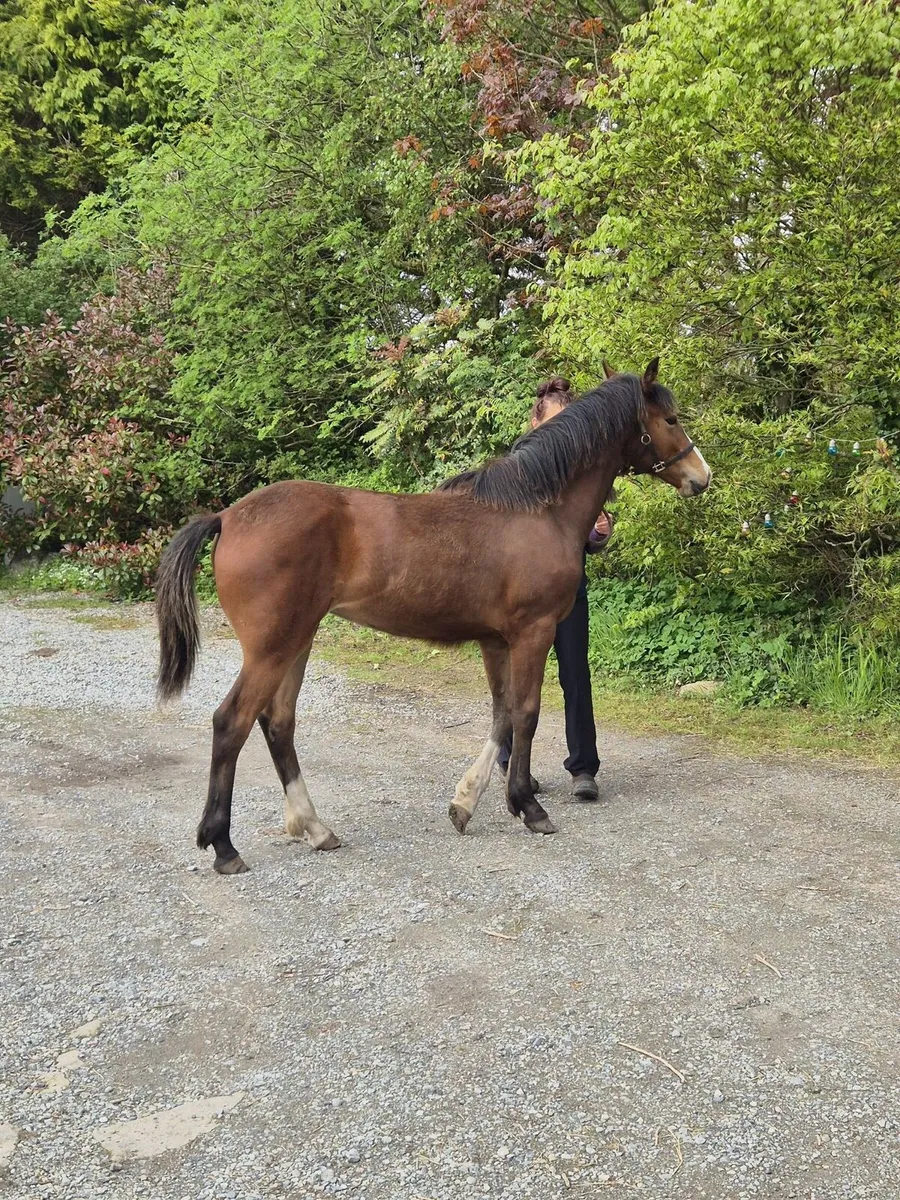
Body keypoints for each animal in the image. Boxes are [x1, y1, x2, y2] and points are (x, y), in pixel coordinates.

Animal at [156, 359, 710, 874]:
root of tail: (227, 517)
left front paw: (466, 804)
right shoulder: (532, 633)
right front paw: (529, 808)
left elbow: (503, 716)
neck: (537, 511)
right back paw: (224, 846)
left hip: (298, 640)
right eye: (670, 418)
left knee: (278, 723)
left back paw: (315, 828)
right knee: (232, 722)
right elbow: (526, 714)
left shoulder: (497, 640)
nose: (700, 477)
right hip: (272, 648)